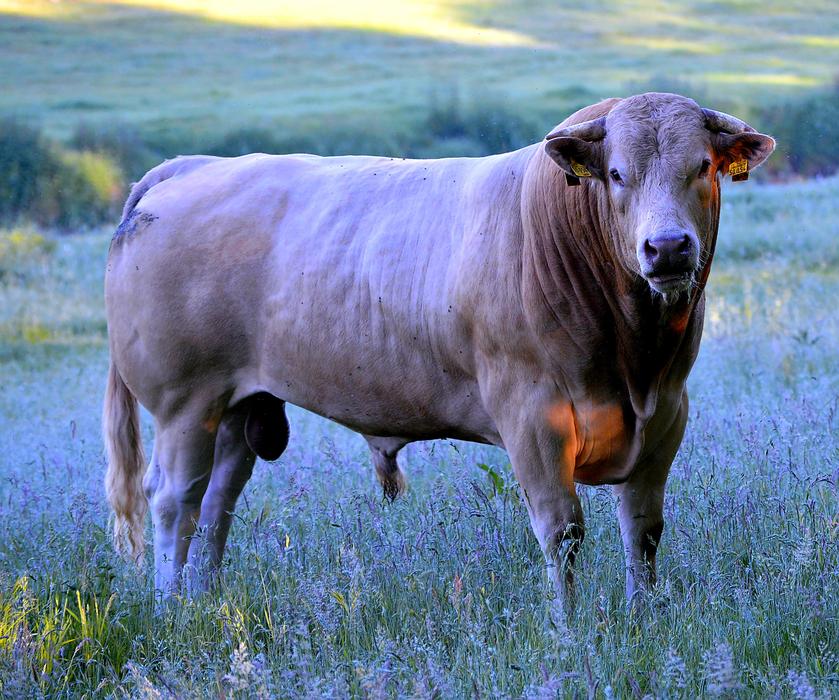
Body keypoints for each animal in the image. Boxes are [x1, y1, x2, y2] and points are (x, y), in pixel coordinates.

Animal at [103, 92, 774, 610]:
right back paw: (171, 605)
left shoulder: (666, 413)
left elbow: (644, 530)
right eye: (615, 175)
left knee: (217, 502)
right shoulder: (534, 418)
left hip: (238, 405)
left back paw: (207, 600)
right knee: (174, 500)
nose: (668, 247)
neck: (633, 353)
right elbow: (562, 531)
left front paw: (641, 619)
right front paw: (571, 628)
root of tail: (193, 167)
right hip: (185, 403)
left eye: (703, 167)